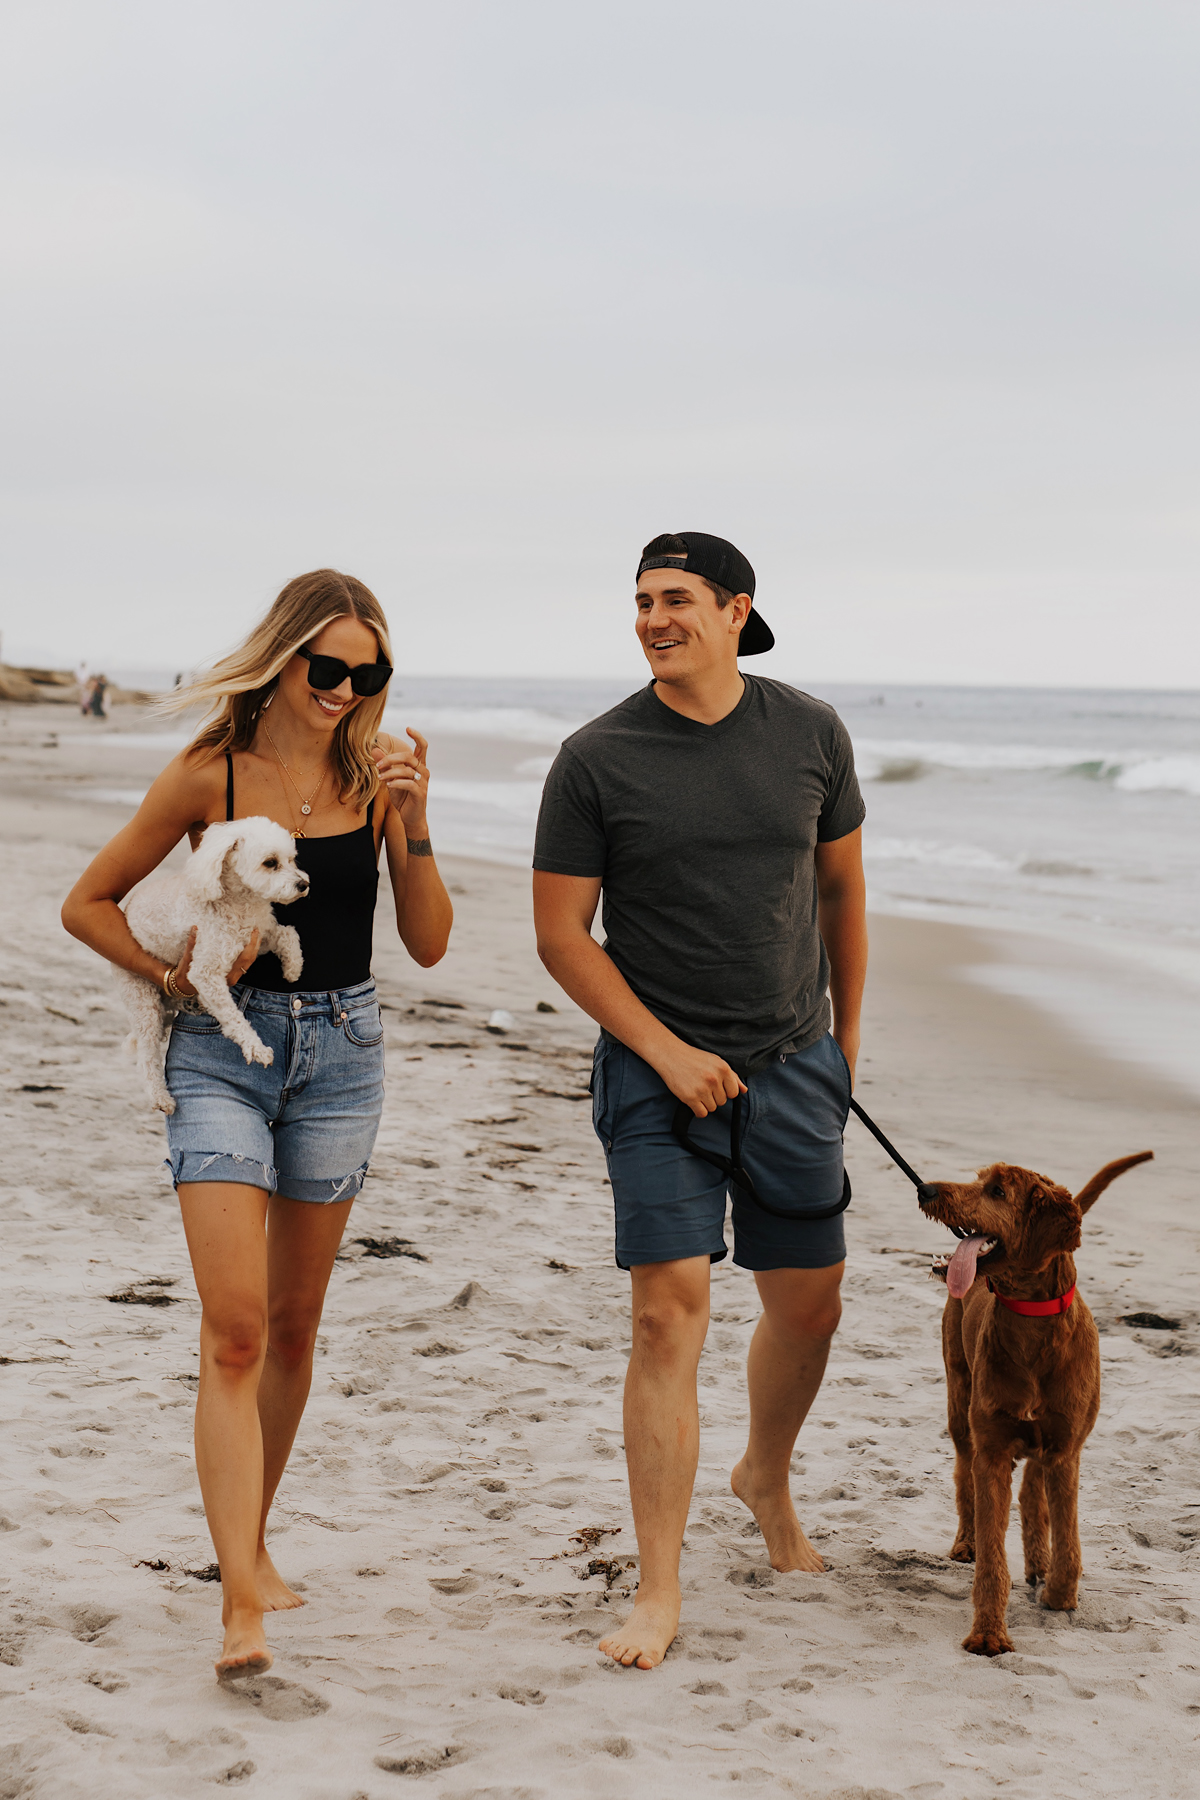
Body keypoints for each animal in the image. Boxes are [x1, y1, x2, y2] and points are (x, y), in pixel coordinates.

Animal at [116, 820, 309, 1108]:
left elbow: (288, 933)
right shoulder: (205, 972)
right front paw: (256, 1047)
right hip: (141, 998)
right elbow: (233, 1016)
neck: (239, 902)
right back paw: (160, 1096)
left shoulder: (260, 936)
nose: (303, 884)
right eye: (270, 863)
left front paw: (293, 967)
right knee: (148, 1055)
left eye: (291, 859)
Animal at [921, 1152, 1151, 1656]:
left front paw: (1061, 1593)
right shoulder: (992, 1449)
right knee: (963, 1474)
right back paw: (966, 1541)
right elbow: (992, 1556)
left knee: (1032, 1491)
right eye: (979, 1179)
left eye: (997, 1191)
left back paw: (1038, 1562)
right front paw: (988, 1633)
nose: (925, 1189)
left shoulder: (1065, 1448)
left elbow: (1068, 1535)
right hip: (959, 1401)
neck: (1030, 1323)